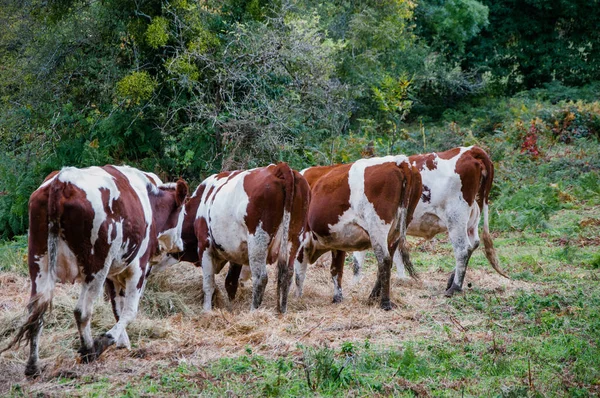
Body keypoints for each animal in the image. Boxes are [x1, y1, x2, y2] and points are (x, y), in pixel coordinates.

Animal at [1, 166, 189, 378]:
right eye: (182, 213)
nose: (181, 245)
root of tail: (63, 180)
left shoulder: (113, 274)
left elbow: (117, 308)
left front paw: (123, 343)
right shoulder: (138, 267)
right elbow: (129, 311)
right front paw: (107, 341)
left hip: (39, 263)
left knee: (36, 312)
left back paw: (33, 366)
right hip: (96, 267)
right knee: (81, 311)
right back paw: (89, 350)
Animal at [164, 162, 310, 314]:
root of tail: (279, 167)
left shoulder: (204, 246)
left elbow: (208, 284)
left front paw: (207, 311)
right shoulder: (236, 253)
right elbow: (230, 283)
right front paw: (230, 309)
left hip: (258, 241)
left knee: (260, 278)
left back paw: (253, 312)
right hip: (294, 238)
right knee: (287, 274)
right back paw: (282, 311)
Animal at [292, 154, 420, 310]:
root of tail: (398, 161)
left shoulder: (302, 240)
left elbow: (299, 273)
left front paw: (297, 298)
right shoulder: (337, 241)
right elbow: (336, 270)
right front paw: (337, 298)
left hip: (377, 227)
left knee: (384, 260)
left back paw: (385, 302)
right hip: (397, 230)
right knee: (387, 261)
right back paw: (372, 297)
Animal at [350, 146, 508, 296]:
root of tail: (470, 150)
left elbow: (359, 259)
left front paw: (355, 283)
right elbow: (395, 255)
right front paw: (401, 278)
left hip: (456, 217)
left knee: (463, 249)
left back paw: (454, 288)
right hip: (474, 215)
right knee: (473, 244)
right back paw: (451, 281)